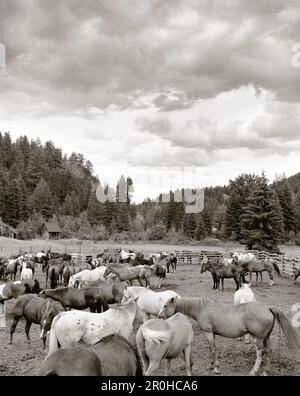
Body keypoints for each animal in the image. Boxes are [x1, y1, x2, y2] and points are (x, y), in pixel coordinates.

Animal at [158, 296, 298, 376]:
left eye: (165, 306)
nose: (159, 316)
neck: (202, 308)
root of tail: (267, 308)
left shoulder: (208, 333)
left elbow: (213, 350)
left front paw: (216, 368)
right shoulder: (211, 334)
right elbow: (211, 349)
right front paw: (211, 365)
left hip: (258, 339)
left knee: (260, 353)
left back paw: (253, 371)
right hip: (266, 338)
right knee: (269, 351)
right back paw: (265, 371)